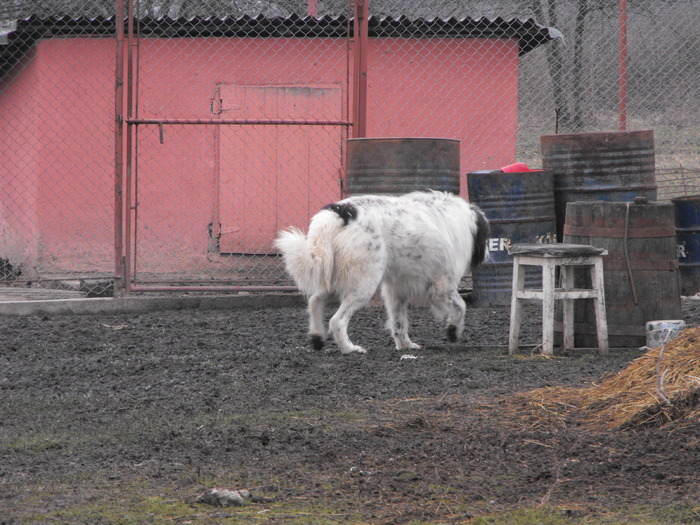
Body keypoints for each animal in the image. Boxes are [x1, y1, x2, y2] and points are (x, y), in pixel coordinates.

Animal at [276, 190, 490, 354]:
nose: (488, 254)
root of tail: (340, 214)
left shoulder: (398, 290)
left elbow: (399, 321)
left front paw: (405, 345)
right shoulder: (443, 287)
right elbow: (461, 307)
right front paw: (453, 331)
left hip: (334, 277)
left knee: (314, 301)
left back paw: (317, 336)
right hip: (363, 284)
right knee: (337, 321)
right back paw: (349, 349)